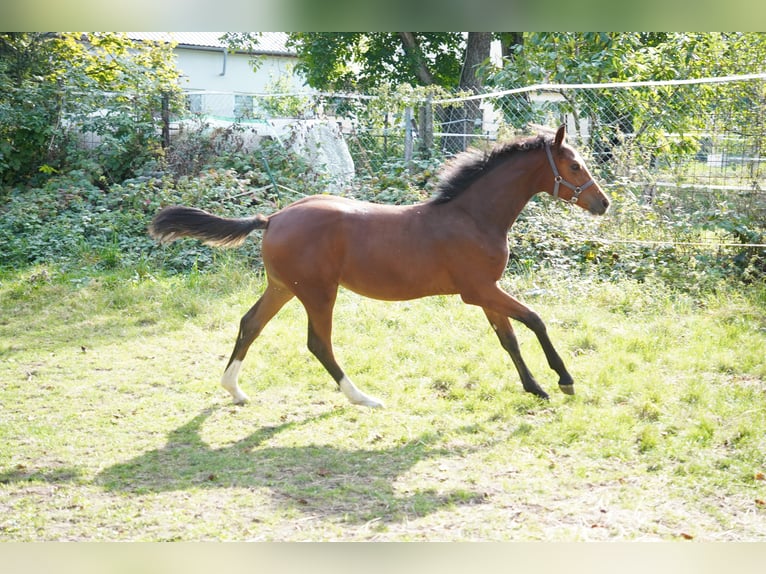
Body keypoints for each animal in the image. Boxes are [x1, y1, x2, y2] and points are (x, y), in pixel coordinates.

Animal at [150, 126, 608, 410]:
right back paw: (363, 397)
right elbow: (535, 320)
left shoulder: (485, 292)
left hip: (283, 286)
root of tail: (273, 218)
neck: (472, 217)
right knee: (318, 343)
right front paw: (564, 380)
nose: (603, 203)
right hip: (318, 292)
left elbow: (508, 339)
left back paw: (234, 389)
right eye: (574, 166)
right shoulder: (479, 290)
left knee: (250, 324)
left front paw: (535, 387)